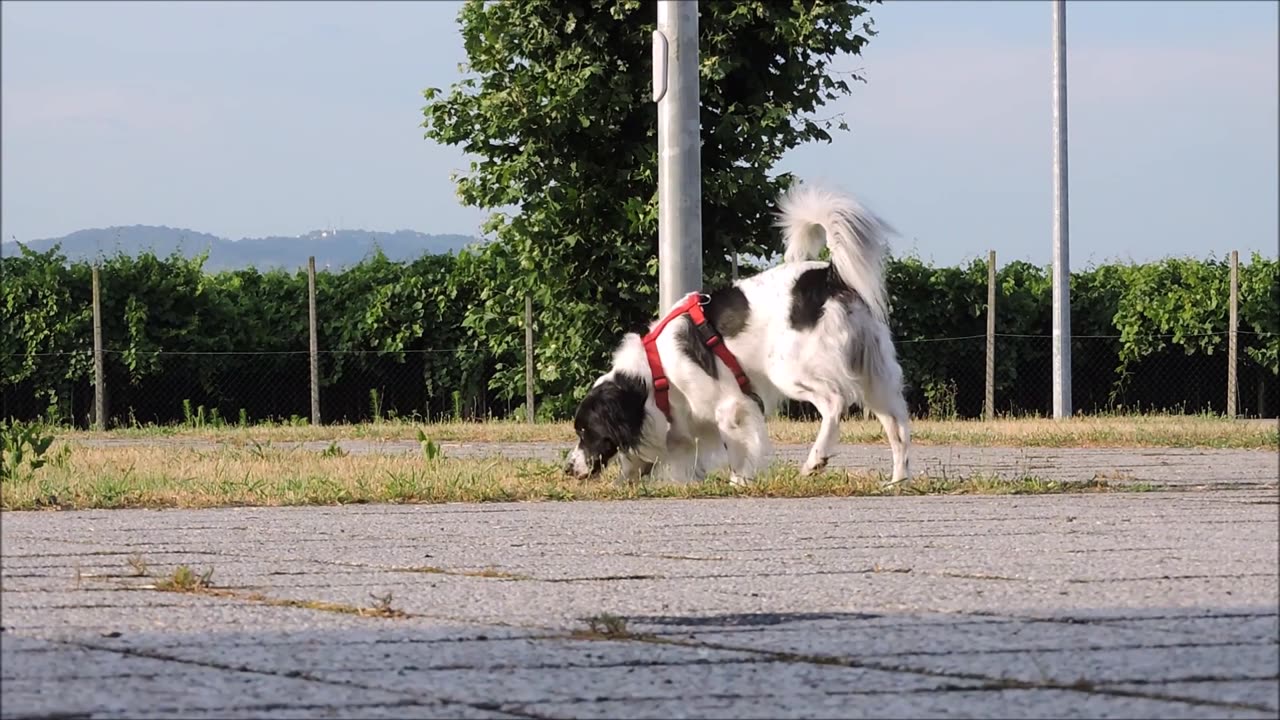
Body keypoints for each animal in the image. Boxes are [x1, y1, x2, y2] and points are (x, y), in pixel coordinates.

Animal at [563, 180, 911, 481]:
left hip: (790, 370)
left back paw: (816, 460)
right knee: (898, 427)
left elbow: (738, 452)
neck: (656, 373)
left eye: (585, 431)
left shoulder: (731, 407)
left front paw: (737, 483)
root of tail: (829, 275)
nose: (567, 468)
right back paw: (897, 481)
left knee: (836, 402)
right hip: (875, 377)